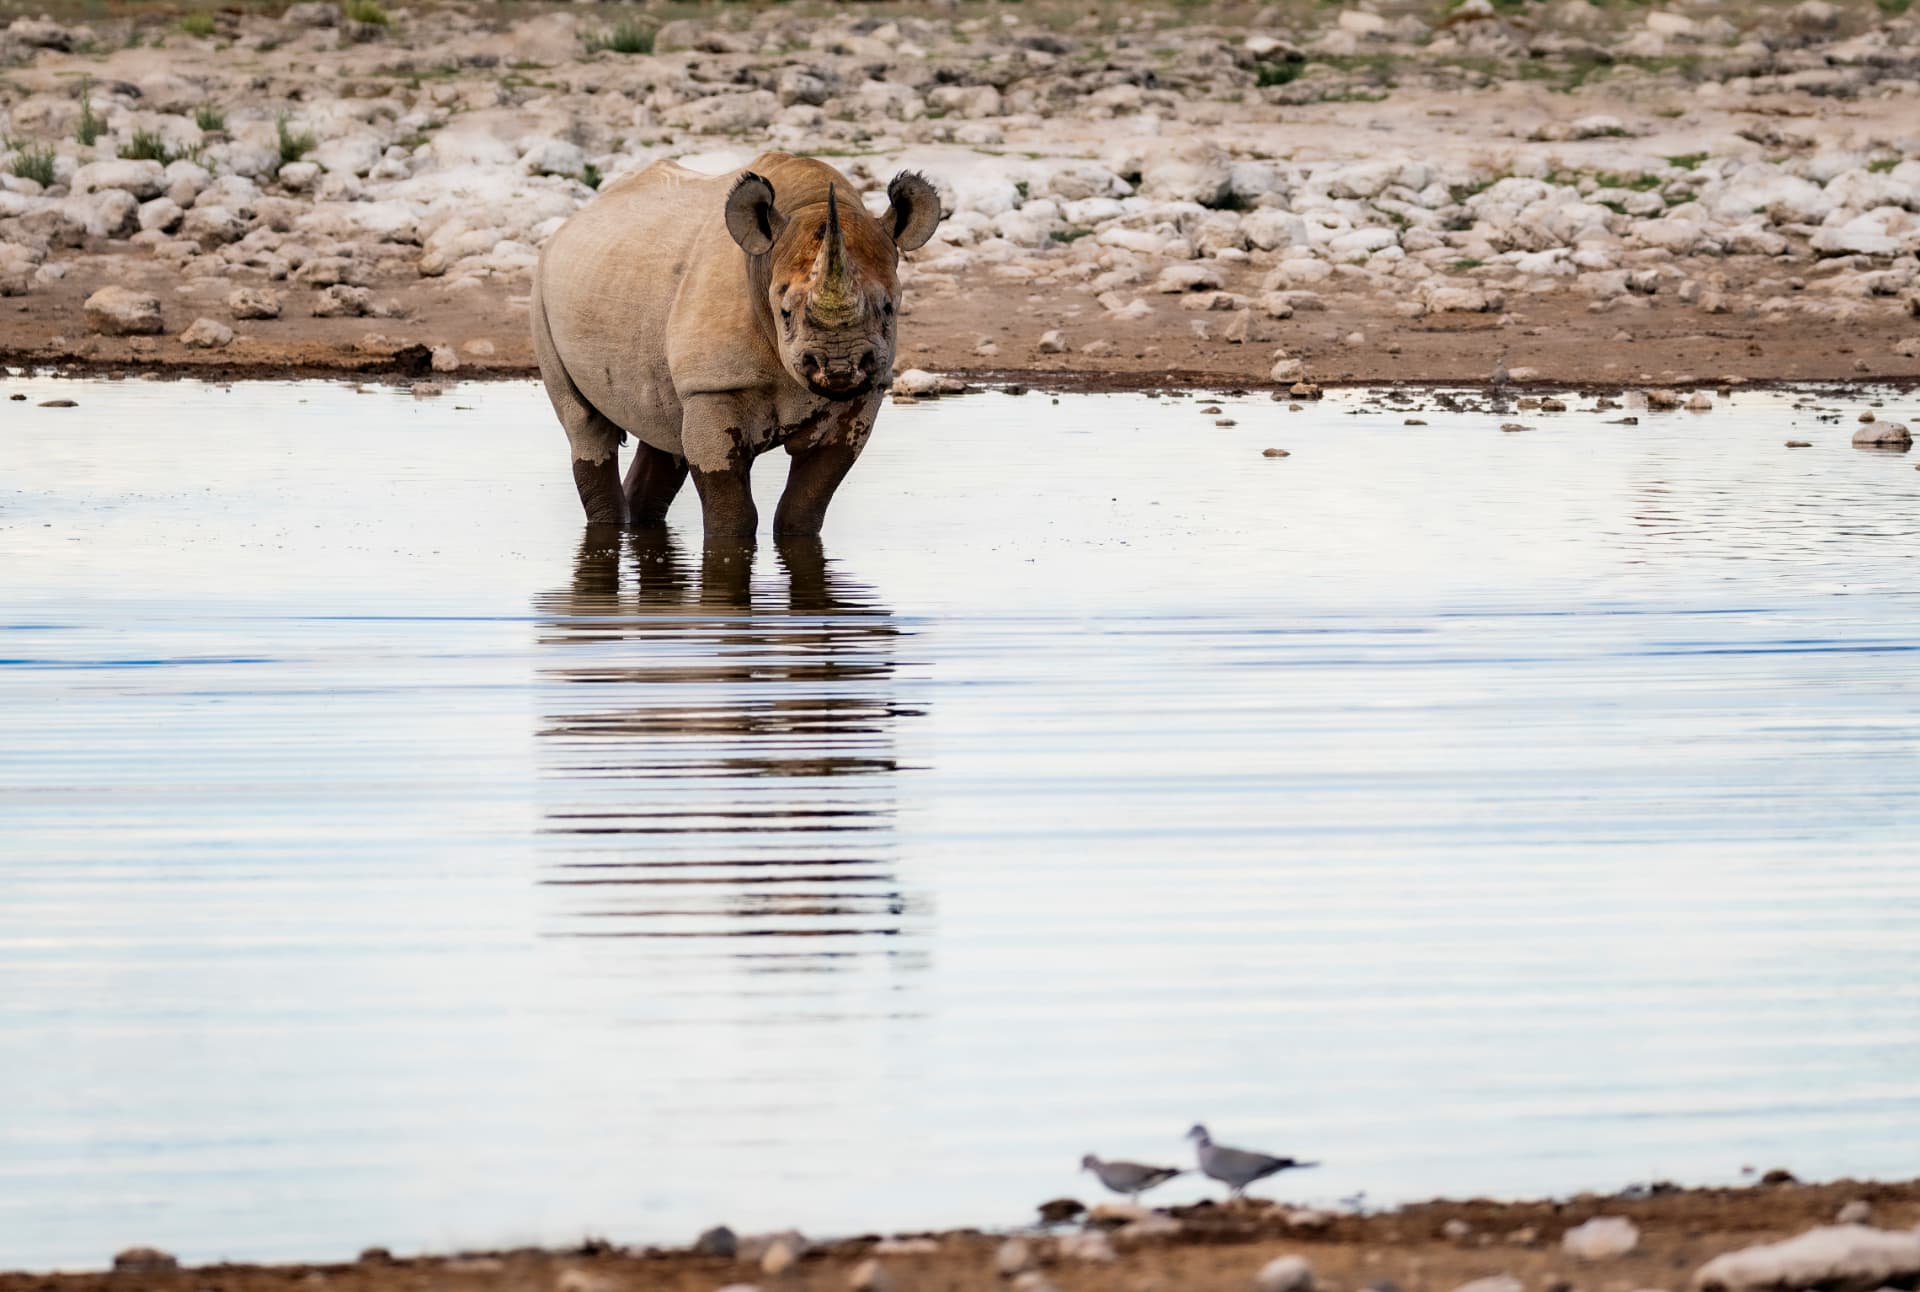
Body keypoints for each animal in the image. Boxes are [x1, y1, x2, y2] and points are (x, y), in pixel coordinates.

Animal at [531, 152, 943, 540]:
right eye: (785, 312)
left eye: (888, 308)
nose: (840, 367)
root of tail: (574, 220)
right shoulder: (712, 387)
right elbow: (733, 512)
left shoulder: (865, 395)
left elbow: (804, 506)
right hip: (543, 291)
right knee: (584, 425)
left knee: (662, 428)